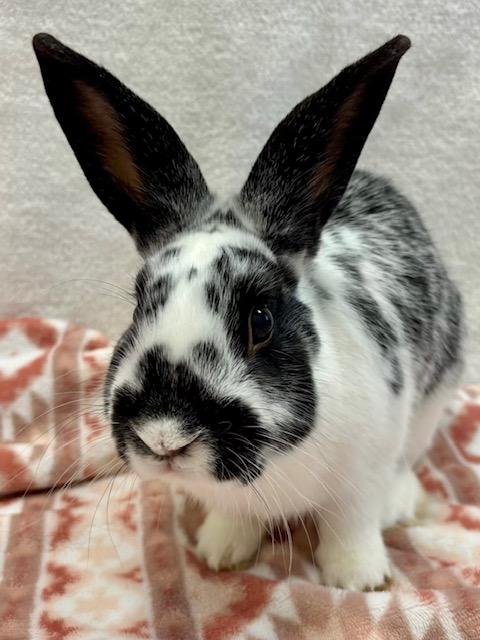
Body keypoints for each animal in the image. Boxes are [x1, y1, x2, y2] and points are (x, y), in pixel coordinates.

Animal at [33, 33, 464, 591]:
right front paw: (220, 553)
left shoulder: (362, 475)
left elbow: (351, 524)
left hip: (433, 401)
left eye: (261, 320)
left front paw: (358, 578)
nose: (163, 437)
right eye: (139, 305)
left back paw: (399, 505)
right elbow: (235, 519)